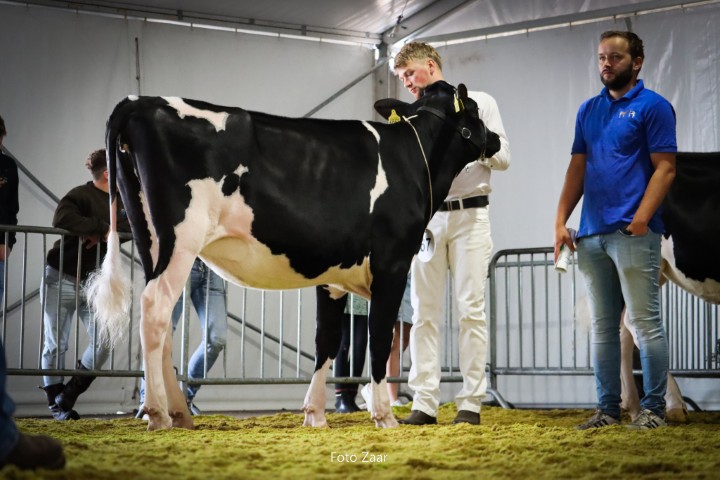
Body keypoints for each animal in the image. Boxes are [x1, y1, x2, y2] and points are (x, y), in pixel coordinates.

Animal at [86, 85, 501, 431]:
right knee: (155, 308)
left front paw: (315, 414)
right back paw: (158, 414)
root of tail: (140, 101)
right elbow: (380, 340)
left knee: (162, 322)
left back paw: (179, 413)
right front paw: (384, 416)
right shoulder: (392, 265)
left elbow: (326, 341)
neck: (413, 158)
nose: (496, 138)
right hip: (180, 239)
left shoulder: (334, 276)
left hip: (150, 239)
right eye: (475, 108)